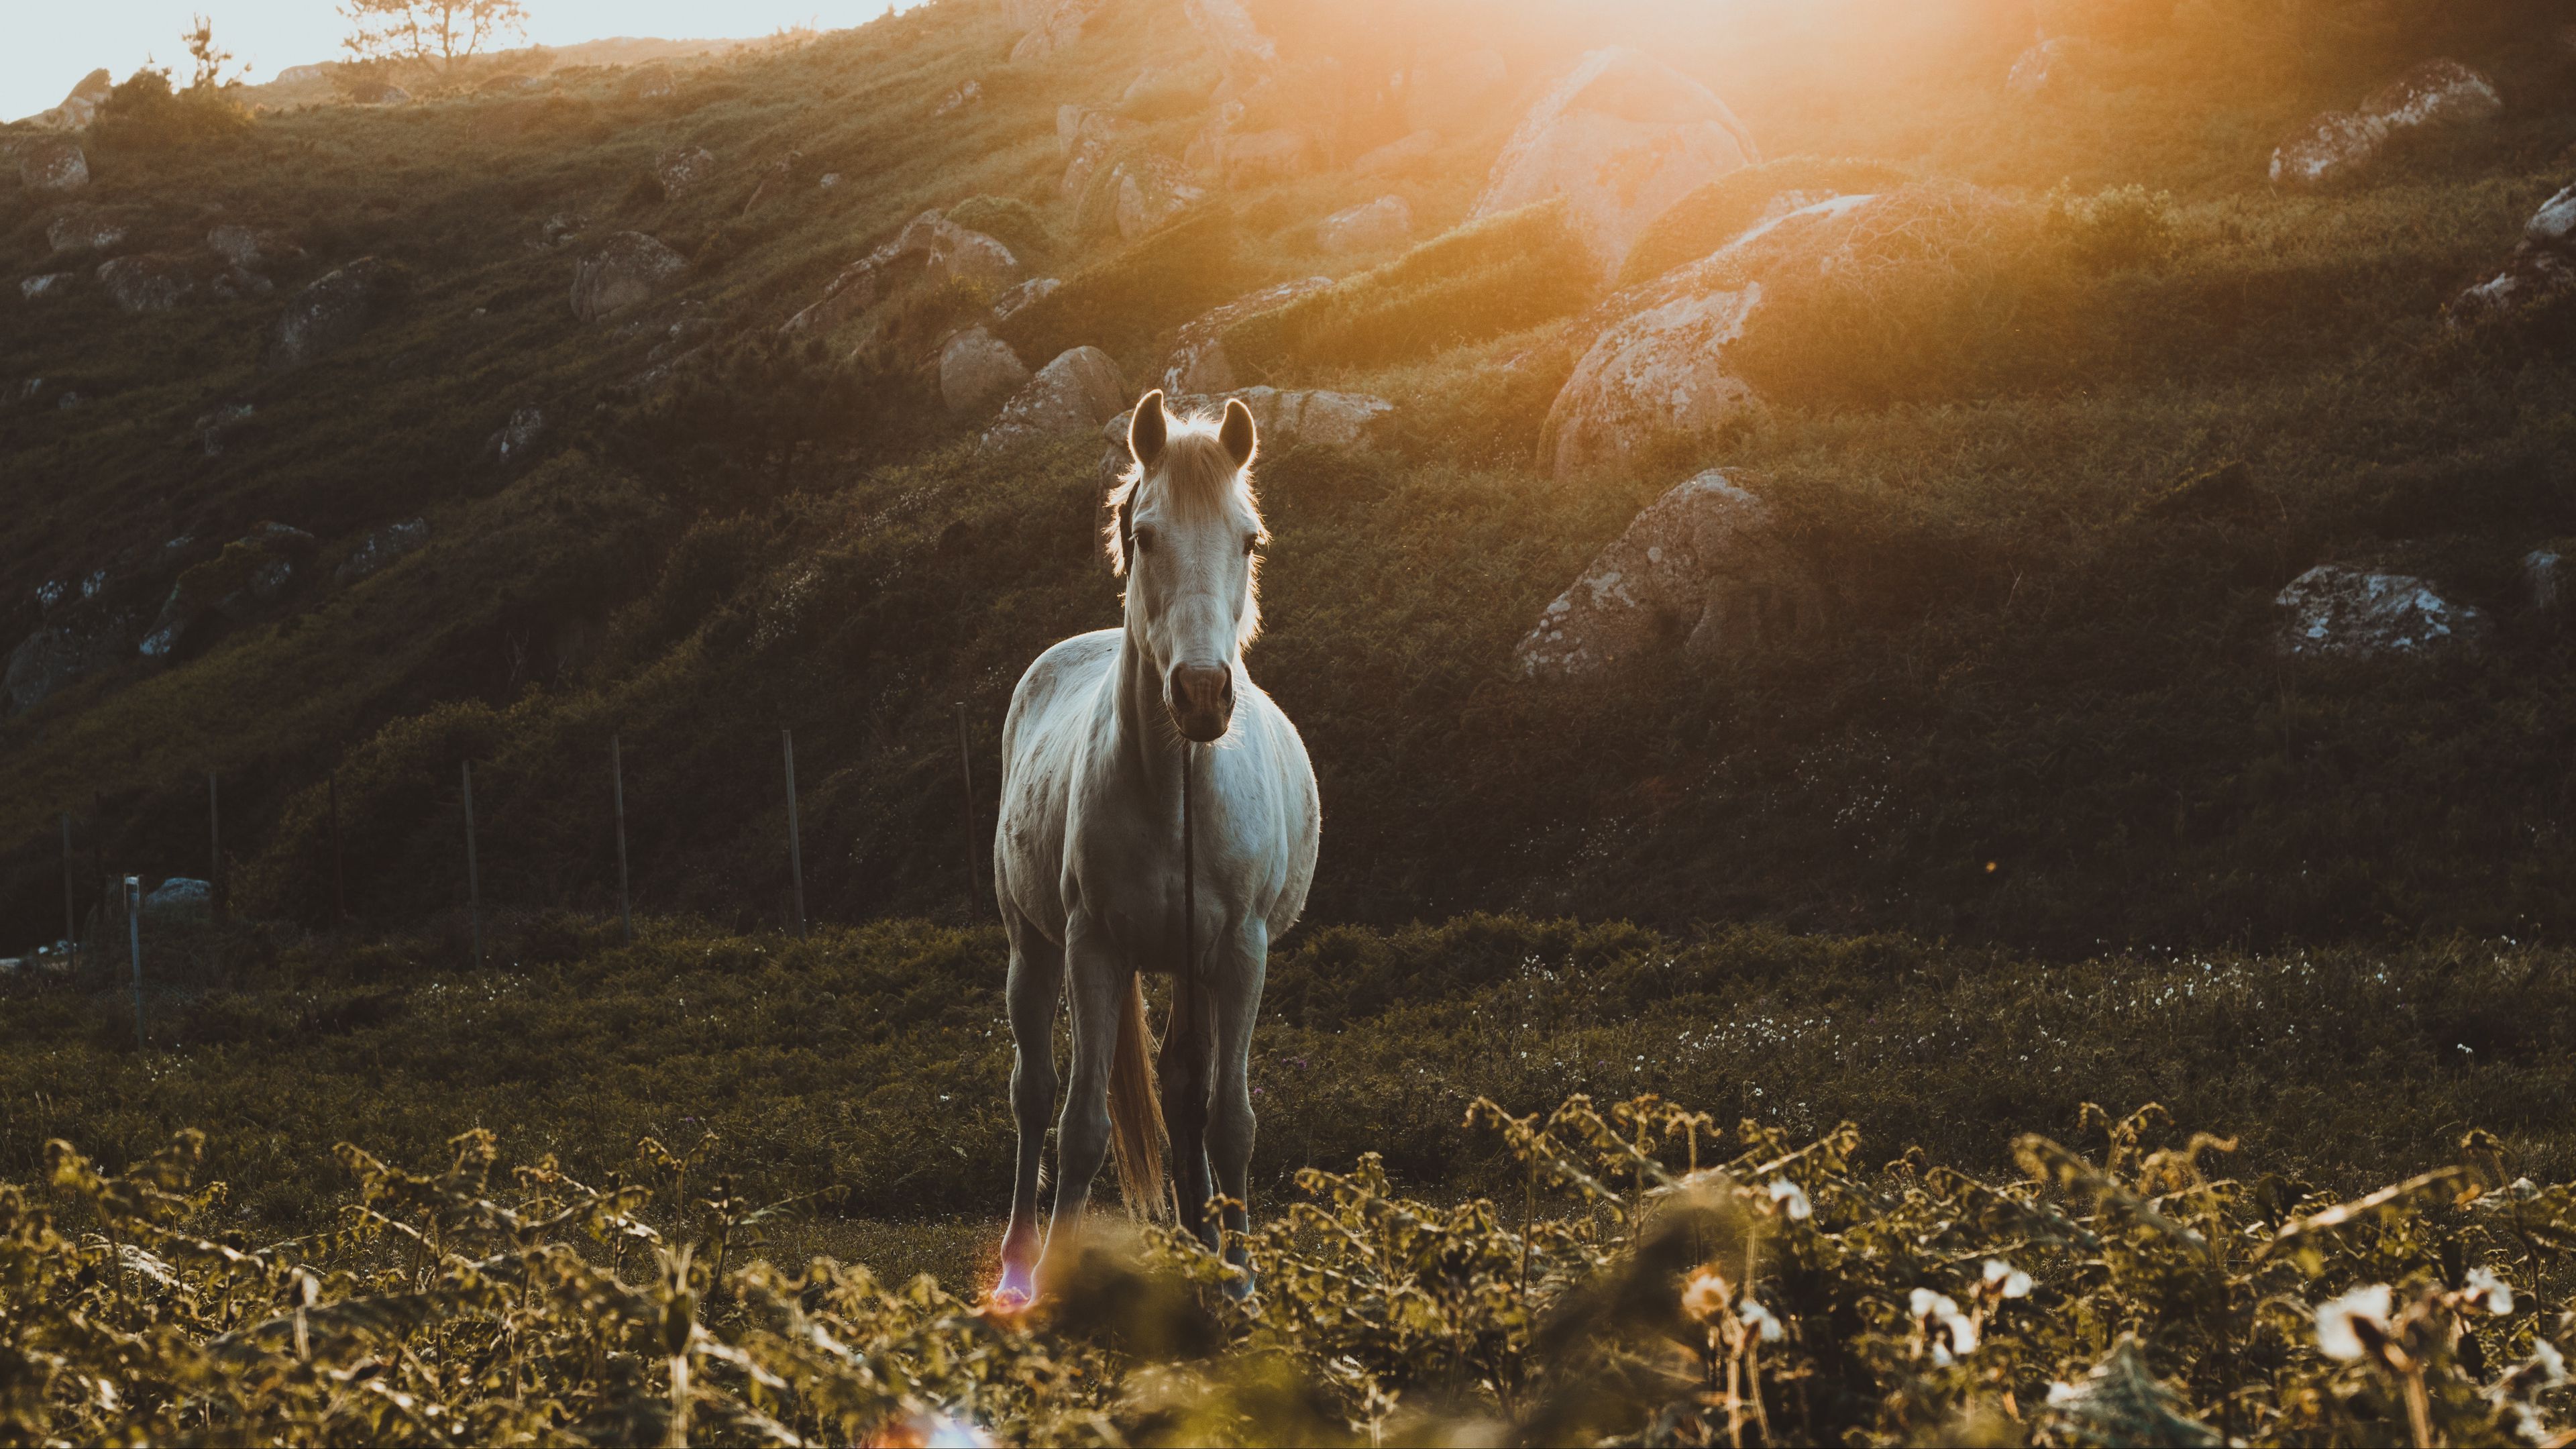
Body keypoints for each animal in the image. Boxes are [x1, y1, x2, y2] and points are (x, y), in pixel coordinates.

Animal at [989, 390, 1321, 1307]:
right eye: (1145, 536)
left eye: (1249, 539)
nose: (1203, 694)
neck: (1177, 792)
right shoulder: (1093, 949)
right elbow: (1080, 1126)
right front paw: (1056, 1287)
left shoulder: (1239, 953)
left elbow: (1229, 1120)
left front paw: (1241, 1284)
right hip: (1032, 949)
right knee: (1033, 1096)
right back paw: (1019, 1265)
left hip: (1189, 967)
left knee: (1182, 1095)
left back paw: (1203, 1249)